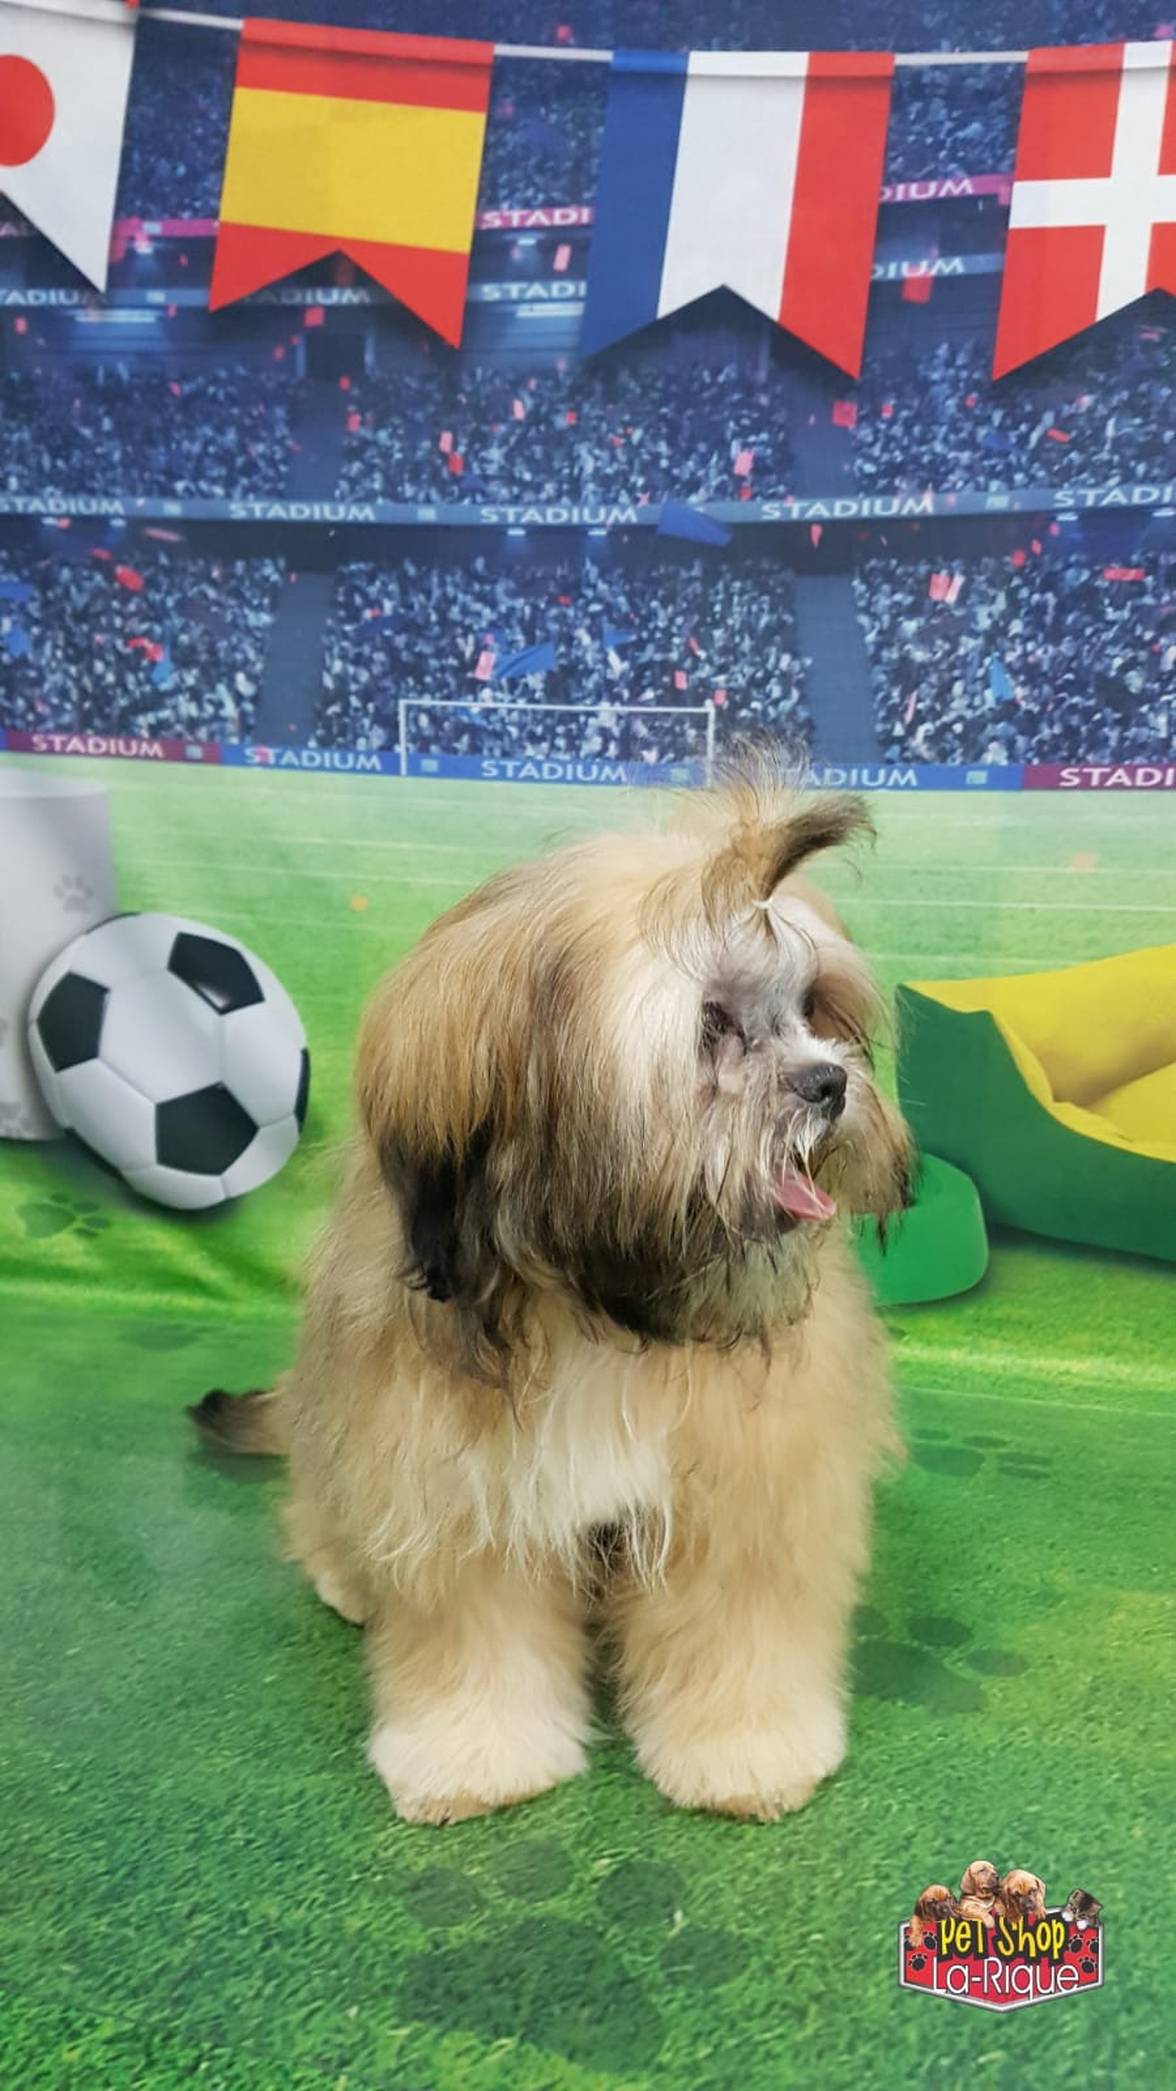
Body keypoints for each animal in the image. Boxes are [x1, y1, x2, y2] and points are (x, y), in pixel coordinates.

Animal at [192, 770, 911, 1825]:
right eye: (710, 1025)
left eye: (814, 1005)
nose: (829, 1082)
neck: (603, 1305)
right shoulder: (454, 1482)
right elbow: (475, 1631)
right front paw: (472, 1753)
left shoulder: (745, 1483)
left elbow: (739, 1621)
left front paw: (744, 1748)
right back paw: (346, 1572)